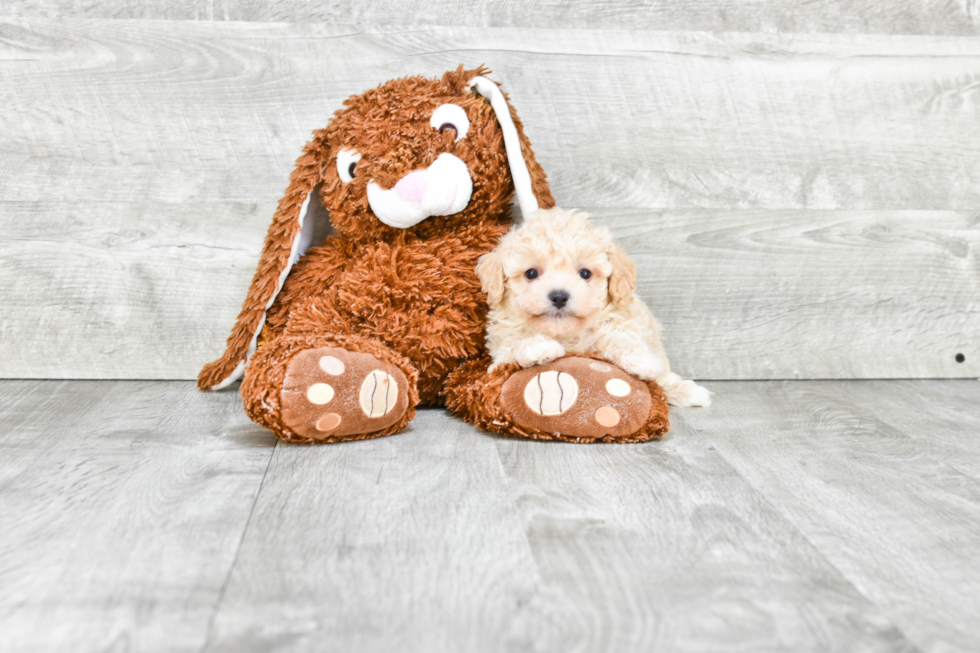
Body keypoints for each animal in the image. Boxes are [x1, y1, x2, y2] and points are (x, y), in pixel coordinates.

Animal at [476, 206, 712, 404]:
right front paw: (539, 347)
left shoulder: (615, 325)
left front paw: (642, 362)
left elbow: (623, 340)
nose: (559, 296)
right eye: (531, 273)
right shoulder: (499, 356)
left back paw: (689, 391)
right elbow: (515, 346)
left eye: (585, 273)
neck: (566, 335)